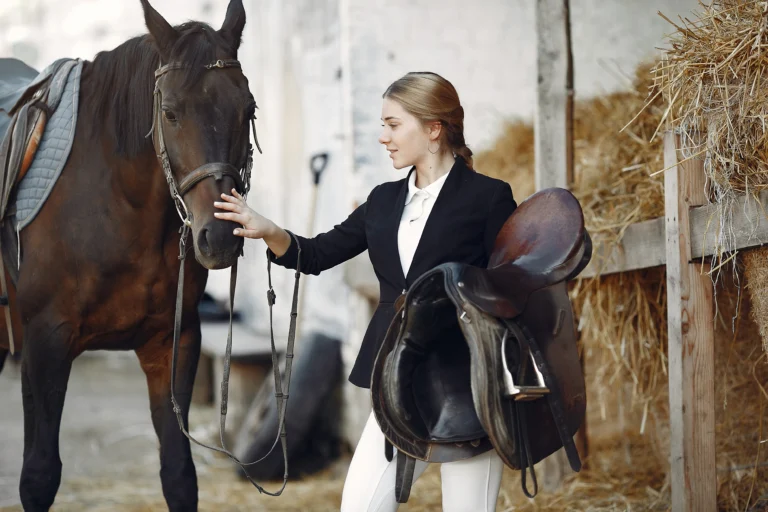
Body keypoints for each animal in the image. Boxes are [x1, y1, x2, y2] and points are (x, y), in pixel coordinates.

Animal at [0, 0, 256, 509]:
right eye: (170, 113)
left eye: (248, 109)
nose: (219, 237)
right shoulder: (44, 345)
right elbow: (39, 475)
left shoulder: (172, 342)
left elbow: (178, 473)